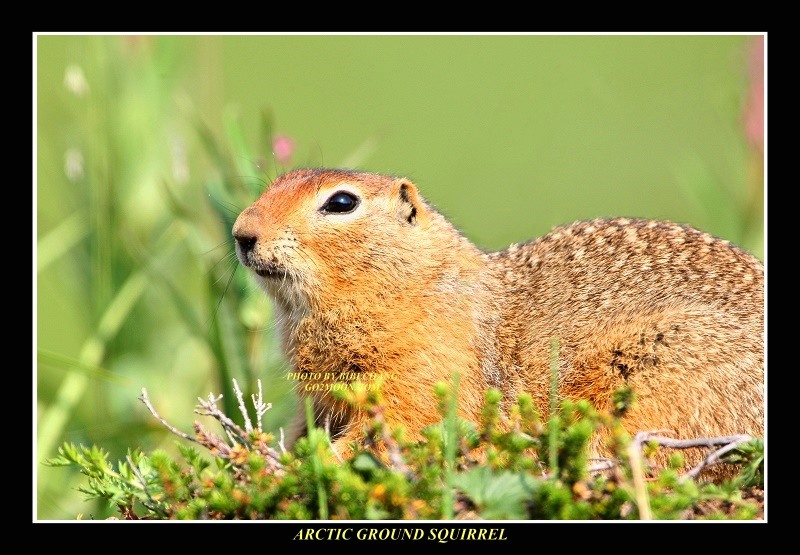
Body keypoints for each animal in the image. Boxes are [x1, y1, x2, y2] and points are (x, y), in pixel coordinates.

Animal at [232, 168, 764, 477]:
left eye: (341, 203)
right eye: (275, 182)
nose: (241, 233)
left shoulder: (424, 377)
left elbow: (393, 429)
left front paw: (315, 465)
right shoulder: (317, 399)